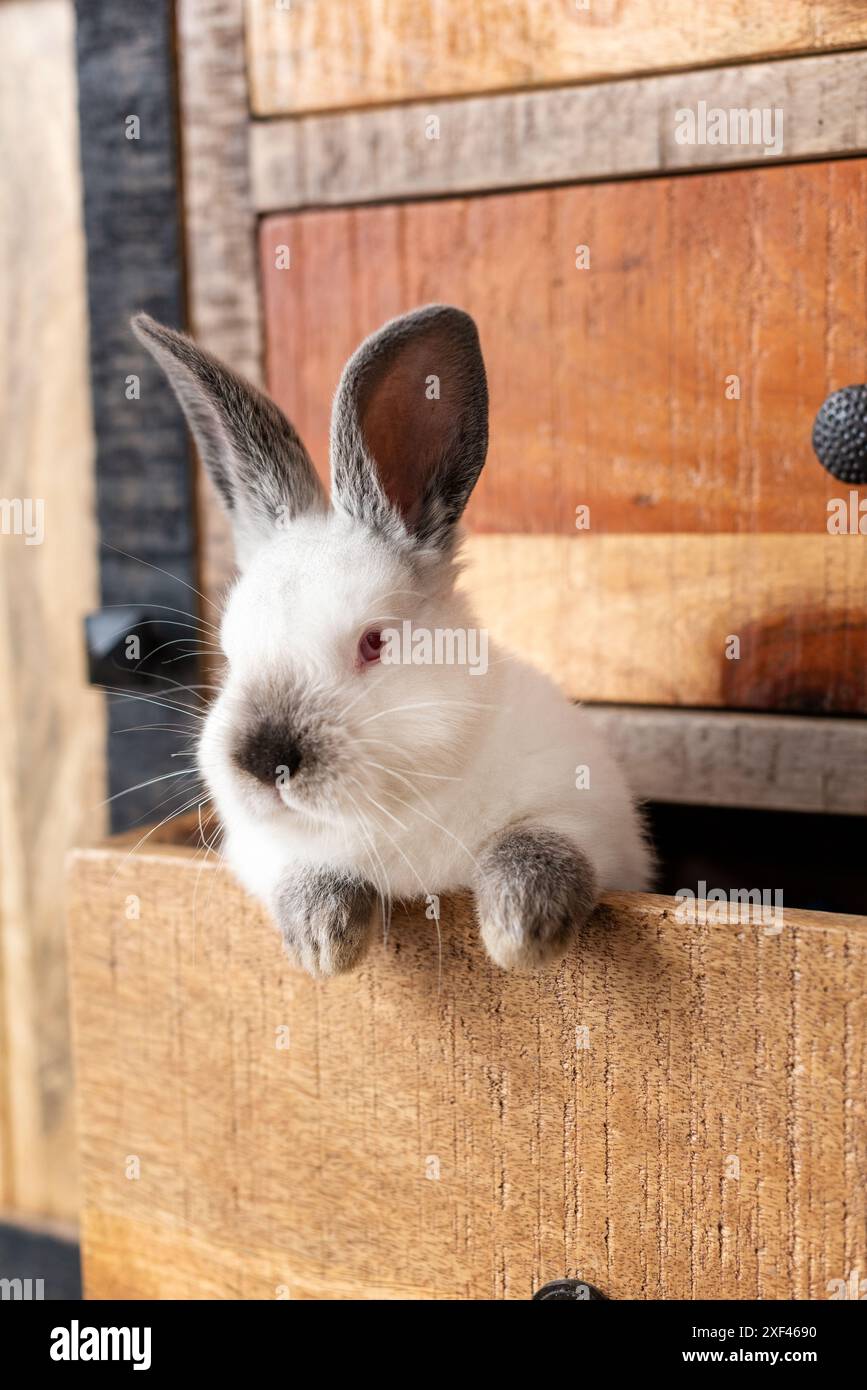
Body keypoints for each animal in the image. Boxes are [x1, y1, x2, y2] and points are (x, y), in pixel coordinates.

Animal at [132, 305, 654, 976]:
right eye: (229, 652)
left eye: (374, 642)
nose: (262, 761)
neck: (397, 806)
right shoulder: (263, 853)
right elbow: (307, 872)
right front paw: (326, 945)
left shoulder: (589, 815)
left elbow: (535, 844)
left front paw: (519, 936)